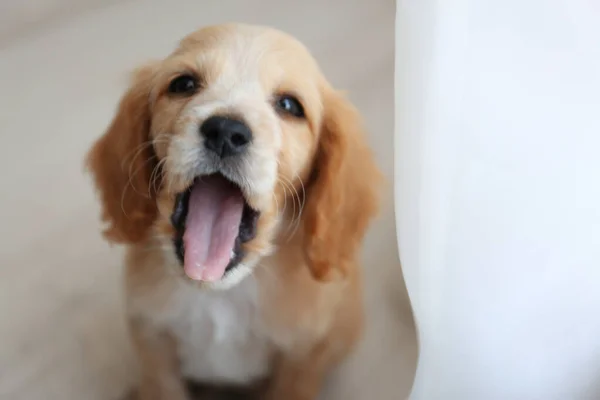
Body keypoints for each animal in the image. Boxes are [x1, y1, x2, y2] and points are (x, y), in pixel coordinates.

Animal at [86, 23, 382, 398]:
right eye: (183, 84)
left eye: (290, 105)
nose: (225, 131)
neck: (222, 294)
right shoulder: (152, 340)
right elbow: (160, 386)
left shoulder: (302, 358)